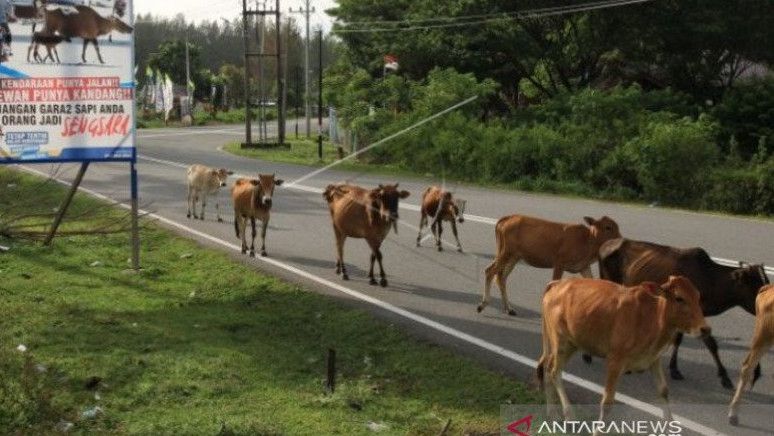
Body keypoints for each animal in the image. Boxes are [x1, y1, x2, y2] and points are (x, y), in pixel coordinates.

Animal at [478, 216, 624, 316]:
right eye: (608, 227)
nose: (621, 239)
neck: (588, 242)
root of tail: (505, 219)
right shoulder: (559, 262)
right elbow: (553, 284)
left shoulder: (583, 267)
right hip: (506, 252)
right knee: (490, 271)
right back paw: (483, 304)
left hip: (514, 256)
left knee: (500, 277)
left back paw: (509, 309)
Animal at [540, 276, 708, 430]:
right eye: (679, 298)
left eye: (698, 297)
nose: (705, 329)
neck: (651, 318)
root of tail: (557, 284)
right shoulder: (615, 361)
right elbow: (607, 401)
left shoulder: (653, 359)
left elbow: (663, 391)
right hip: (561, 342)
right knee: (554, 371)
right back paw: (569, 416)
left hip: (572, 344)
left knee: (548, 368)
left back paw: (552, 414)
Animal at [600, 238, 768, 388]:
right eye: (758, 288)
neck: (711, 280)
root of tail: (607, 244)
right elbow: (709, 342)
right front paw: (724, 377)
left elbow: (682, 339)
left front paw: (674, 368)